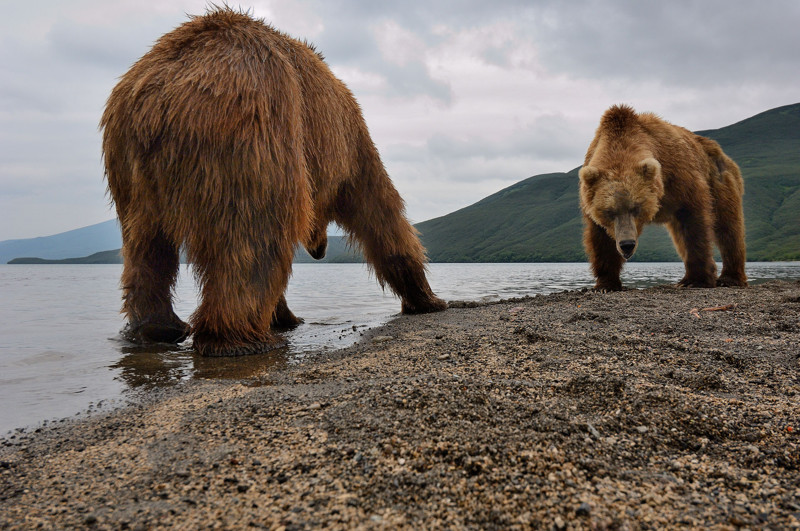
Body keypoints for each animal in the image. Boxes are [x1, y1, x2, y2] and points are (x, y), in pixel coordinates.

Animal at [101, 7, 444, 358]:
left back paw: (158, 327)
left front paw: (283, 315)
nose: (319, 250)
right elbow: (381, 214)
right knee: (253, 238)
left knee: (145, 248)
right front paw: (427, 299)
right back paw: (238, 338)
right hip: (249, 132)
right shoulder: (347, 141)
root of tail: (157, 98)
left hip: (128, 169)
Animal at [580, 105, 748, 290]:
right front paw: (606, 284)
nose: (627, 244)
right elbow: (600, 238)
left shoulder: (680, 177)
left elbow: (695, 225)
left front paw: (697, 279)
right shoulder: (591, 198)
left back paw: (729, 278)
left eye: (636, 208)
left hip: (720, 181)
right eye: (609, 212)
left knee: (728, 227)